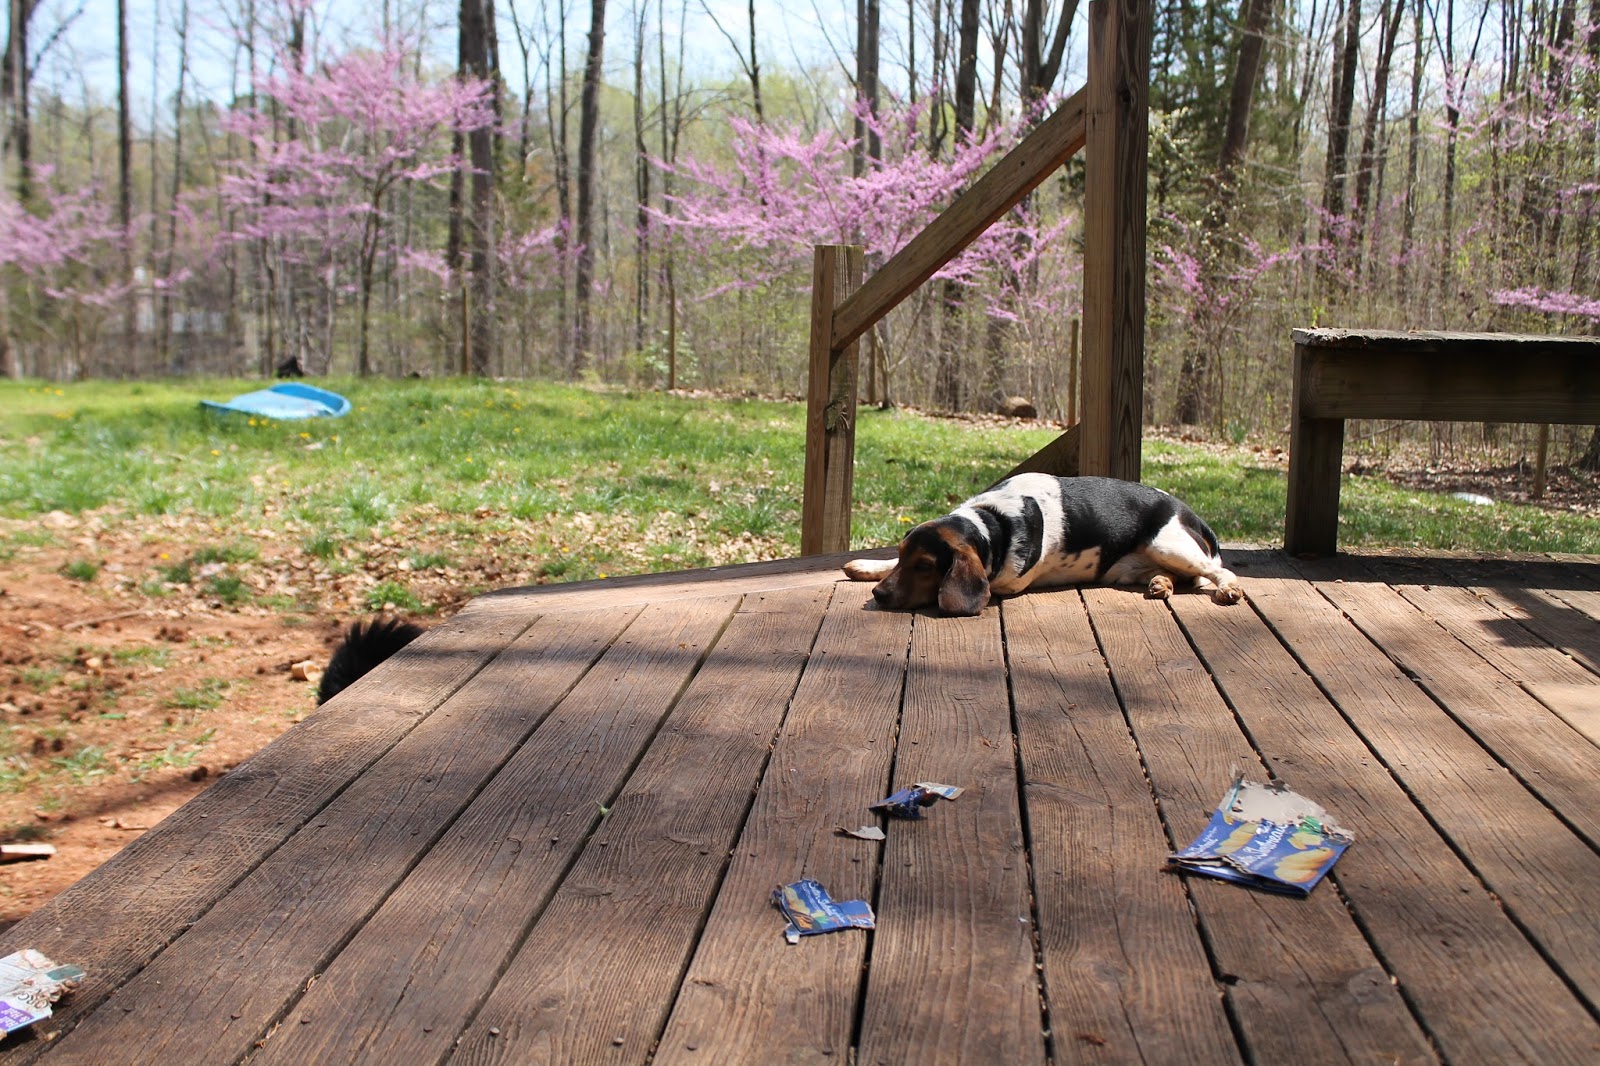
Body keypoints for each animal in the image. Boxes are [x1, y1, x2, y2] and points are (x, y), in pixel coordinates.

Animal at [842, 473, 1241, 615]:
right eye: (902, 556)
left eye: (926, 566)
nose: (879, 595)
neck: (992, 519)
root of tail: (1188, 511)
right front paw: (866, 566)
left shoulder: (1007, 583)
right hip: (1128, 569)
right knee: (1177, 576)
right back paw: (1161, 583)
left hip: (1168, 545)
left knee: (1216, 570)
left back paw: (1229, 589)